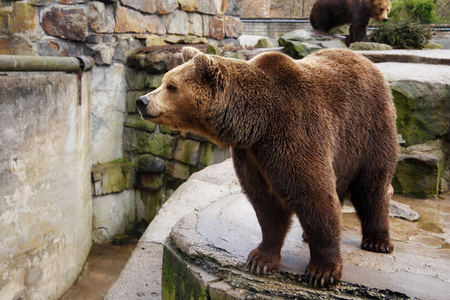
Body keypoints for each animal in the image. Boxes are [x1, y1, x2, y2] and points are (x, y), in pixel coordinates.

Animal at [136, 47, 398, 286]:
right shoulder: (251, 155)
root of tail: (366, 61)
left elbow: (313, 194)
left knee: (372, 184)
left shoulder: (295, 132)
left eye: (172, 86)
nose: (142, 101)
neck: (257, 123)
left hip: (369, 126)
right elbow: (266, 204)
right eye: (163, 80)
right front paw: (260, 259)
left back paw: (377, 240)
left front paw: (322, 271)